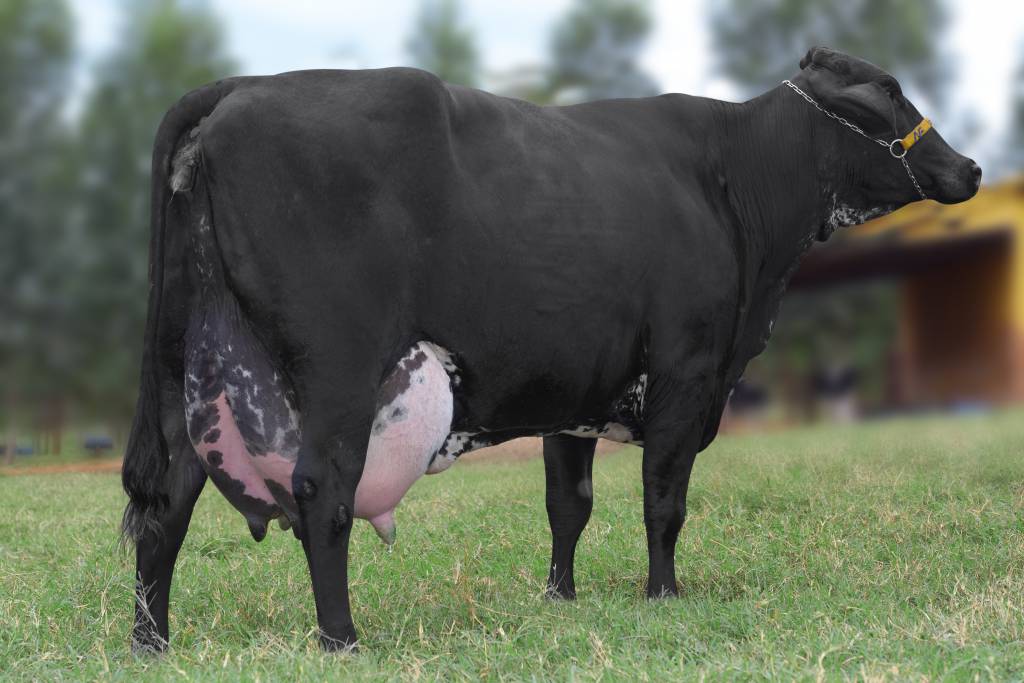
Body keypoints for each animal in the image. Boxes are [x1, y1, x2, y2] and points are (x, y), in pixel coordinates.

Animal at [121, 46, 981, 653]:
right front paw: (663, 594)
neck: (735, 181)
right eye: (890, 92)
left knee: (166, 501)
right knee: (319, 492)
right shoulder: (686, 372)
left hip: (189, 369)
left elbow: (569, 503)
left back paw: (152, 642)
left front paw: (558, 598)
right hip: (337, 371)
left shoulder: (576, 389)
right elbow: (663, 499)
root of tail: (241, 86)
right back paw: (341, 638)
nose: (969, 167)